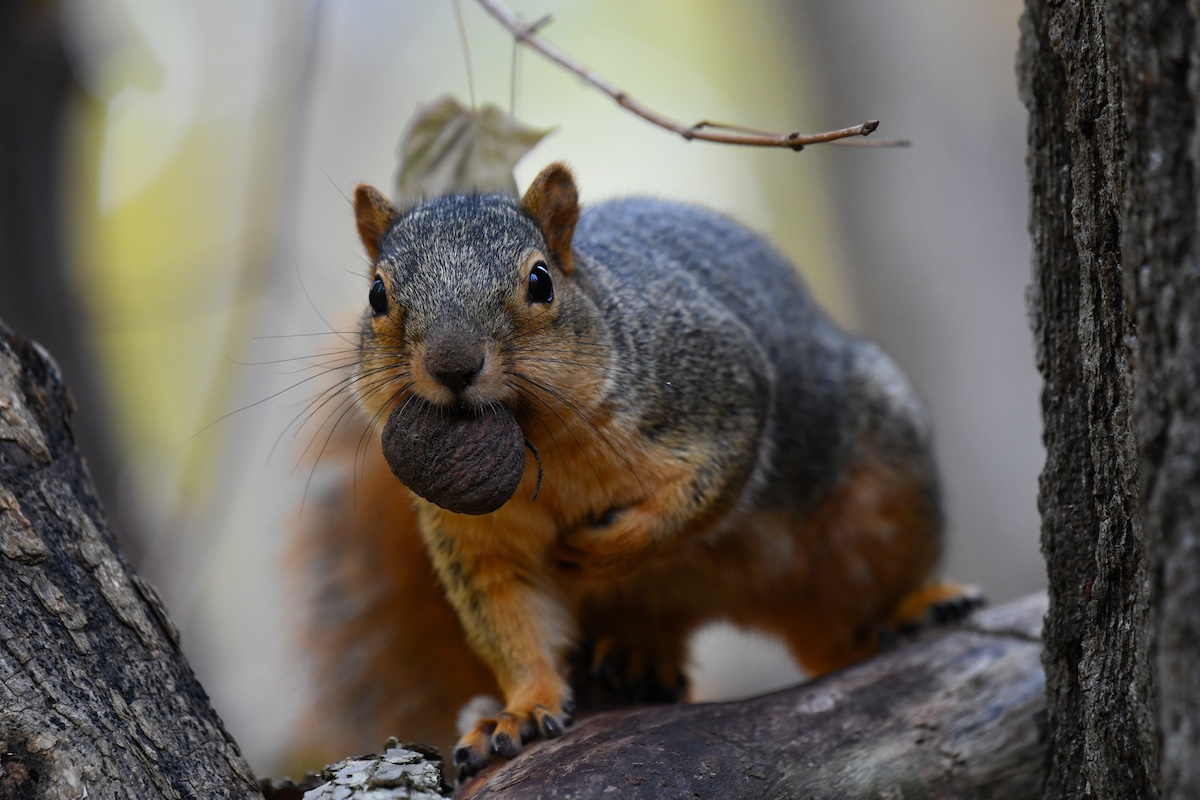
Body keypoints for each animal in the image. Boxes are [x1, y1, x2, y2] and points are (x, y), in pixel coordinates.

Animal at [296, 162, 978, 777]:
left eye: (541, 281)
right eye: (377, 295)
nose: (454, 365)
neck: (542, 443)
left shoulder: (719, 391)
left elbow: (703, 494)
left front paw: (601, 551)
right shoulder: (477, 538)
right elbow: (513, 621)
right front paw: (521, 710)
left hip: (881, 492)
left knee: (852, 623)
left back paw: (913, 607)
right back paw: (636, 658)